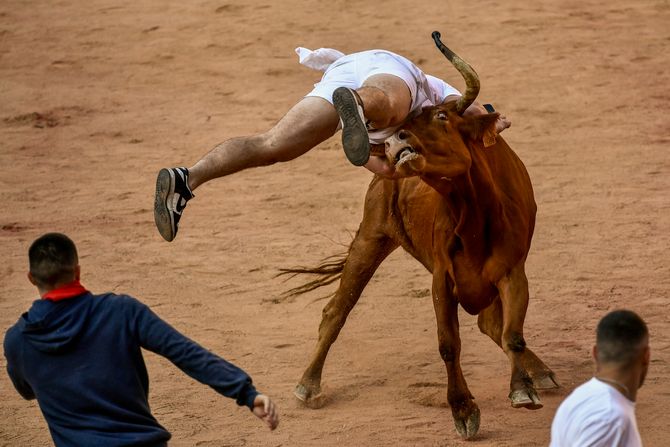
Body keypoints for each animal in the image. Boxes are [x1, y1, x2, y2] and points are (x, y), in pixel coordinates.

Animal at [286, 33, 560, 440]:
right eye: (410, 120)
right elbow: (449, 343)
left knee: (493, 326)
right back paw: (308, 383)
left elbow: (512, 333)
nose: (394, 141)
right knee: (336, 310)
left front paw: (522, 389)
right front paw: (463, 409)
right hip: (371, 237)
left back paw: (540, 372)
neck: (476, 215)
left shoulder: (512, 272)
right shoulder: (442, 278)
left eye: (443, 117)